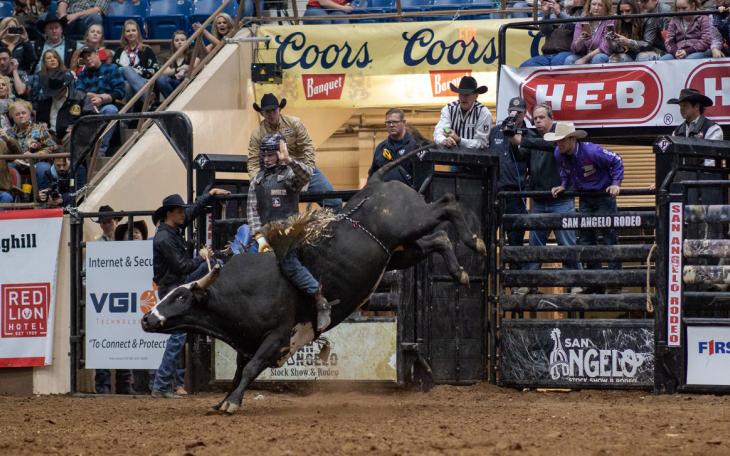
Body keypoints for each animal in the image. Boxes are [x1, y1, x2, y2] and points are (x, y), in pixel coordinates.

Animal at [141, 146, 486, 414]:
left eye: (181, 297)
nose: (147, 319)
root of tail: (375, 184)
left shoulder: (277, 337)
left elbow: (251, 369)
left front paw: (232, 403)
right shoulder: (246, 343)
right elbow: (240, 371)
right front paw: (222, 401)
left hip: (411, 222)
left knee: (447, 204)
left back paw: (476, 241)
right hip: (400, 252)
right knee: (439, 238)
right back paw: (460, 272)